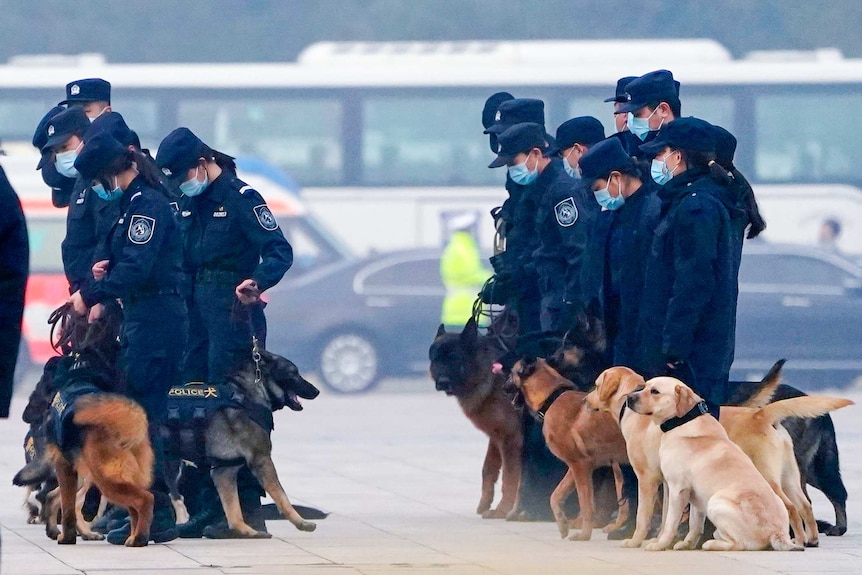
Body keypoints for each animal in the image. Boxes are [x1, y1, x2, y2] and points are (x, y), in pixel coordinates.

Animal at [164, 346, 322, 540]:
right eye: (294, 373)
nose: (316, 391)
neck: (249, 394)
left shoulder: (224, 471)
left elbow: (233, 511)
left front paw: (246, 531)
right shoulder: (262, 461)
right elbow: (282, 496)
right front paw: (301, 522)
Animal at [428, 320, 524, 520]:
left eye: (454, 359)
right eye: (437, 360)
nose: (442, 382)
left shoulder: (511, 440)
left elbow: (510, 477)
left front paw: (503, 509)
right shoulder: (496, 437)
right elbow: (487, 470)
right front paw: (485, 503)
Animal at [510, 358, 632, 544]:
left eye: (510, 374)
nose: (504, 386)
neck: (551, 398)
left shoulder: (580, 467)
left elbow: (586, 505)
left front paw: (584, 535)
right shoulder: (576, 467)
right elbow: (555, 496)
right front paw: (562, 524)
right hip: (619, 467)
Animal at [624, 378, 808, 552]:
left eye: (655, 391)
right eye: (644, 386)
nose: (629, 398)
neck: (682, 422)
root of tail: (778, 533)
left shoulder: (678, 489)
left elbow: (669, 523)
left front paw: (659, 544)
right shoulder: (692, 496)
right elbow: (695, 525)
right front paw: (686, 544)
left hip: (716, 502)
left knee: (738, 544)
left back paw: (711, 544)